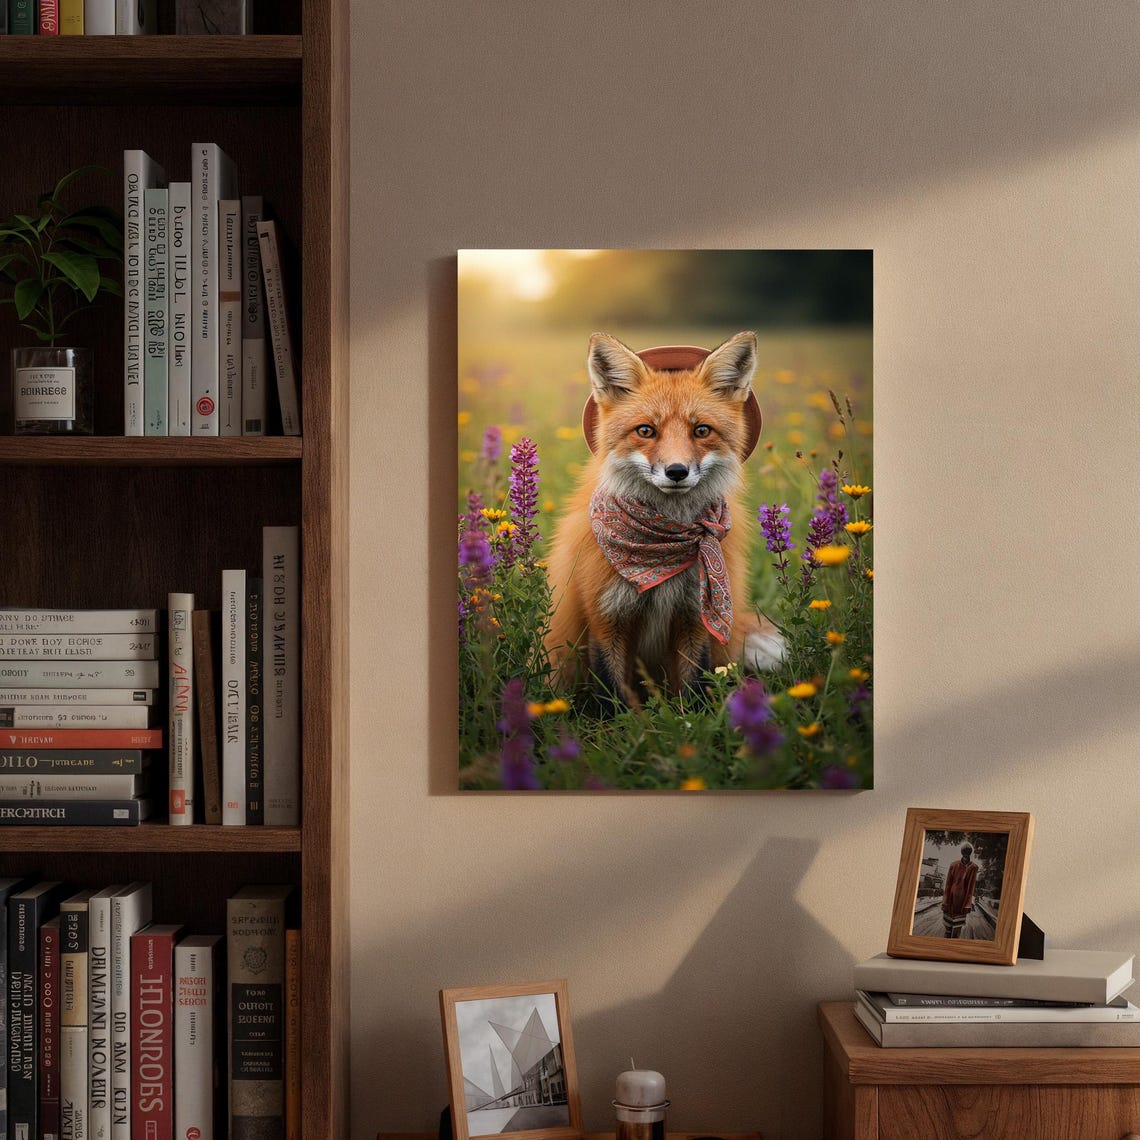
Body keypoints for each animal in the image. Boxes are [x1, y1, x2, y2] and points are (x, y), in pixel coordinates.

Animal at [544, 330, 786, 707]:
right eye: (646, 431)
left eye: (701, 431)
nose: (676, 471)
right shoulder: (604, 616)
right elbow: (610, 692)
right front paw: (621, 721)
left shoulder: (695, 616)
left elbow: (694, 686)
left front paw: (692, 717)